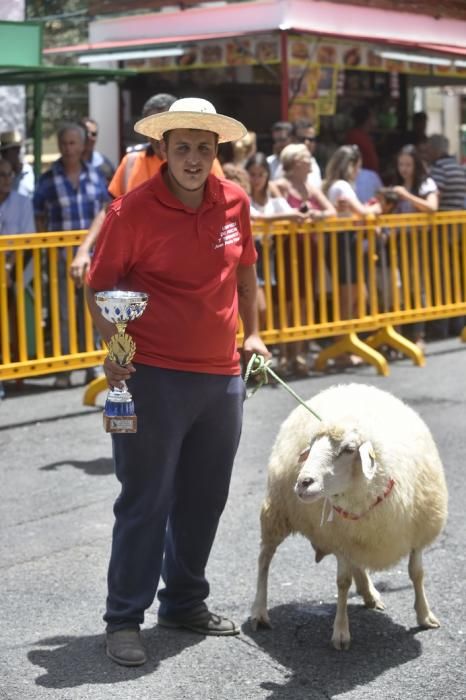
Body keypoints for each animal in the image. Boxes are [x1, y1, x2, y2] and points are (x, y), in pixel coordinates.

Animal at [251, 382, 448, 652]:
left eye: (348, 449)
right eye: (311, 447)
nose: (302, 483)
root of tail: (341, 386)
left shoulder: (416, 533)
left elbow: (416, 574)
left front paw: (425, 615)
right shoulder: (341, 540)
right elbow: (343, 583)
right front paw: (341, 632)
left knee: (358, 563)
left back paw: (369, 593)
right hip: (277, 512)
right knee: (264, 560)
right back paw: (259, 612)